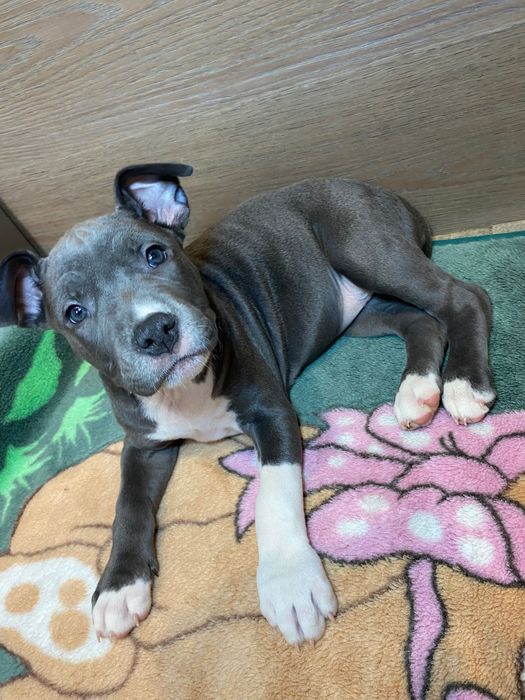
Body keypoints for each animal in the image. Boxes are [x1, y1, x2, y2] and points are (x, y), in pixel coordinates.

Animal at [0, 163, 495, 645]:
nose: (156, 330)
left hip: (361, 247)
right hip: (352, 309)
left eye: (155, 254)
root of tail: (379, 190)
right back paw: (417, 391)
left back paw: (464, 384)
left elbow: (273, 496)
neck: (183, 392)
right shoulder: (143, 445)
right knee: (421, 322)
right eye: (75, 312)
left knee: (464, 296)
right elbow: (128, 503)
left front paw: (291, 584)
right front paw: (119, 586)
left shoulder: (270, 412)